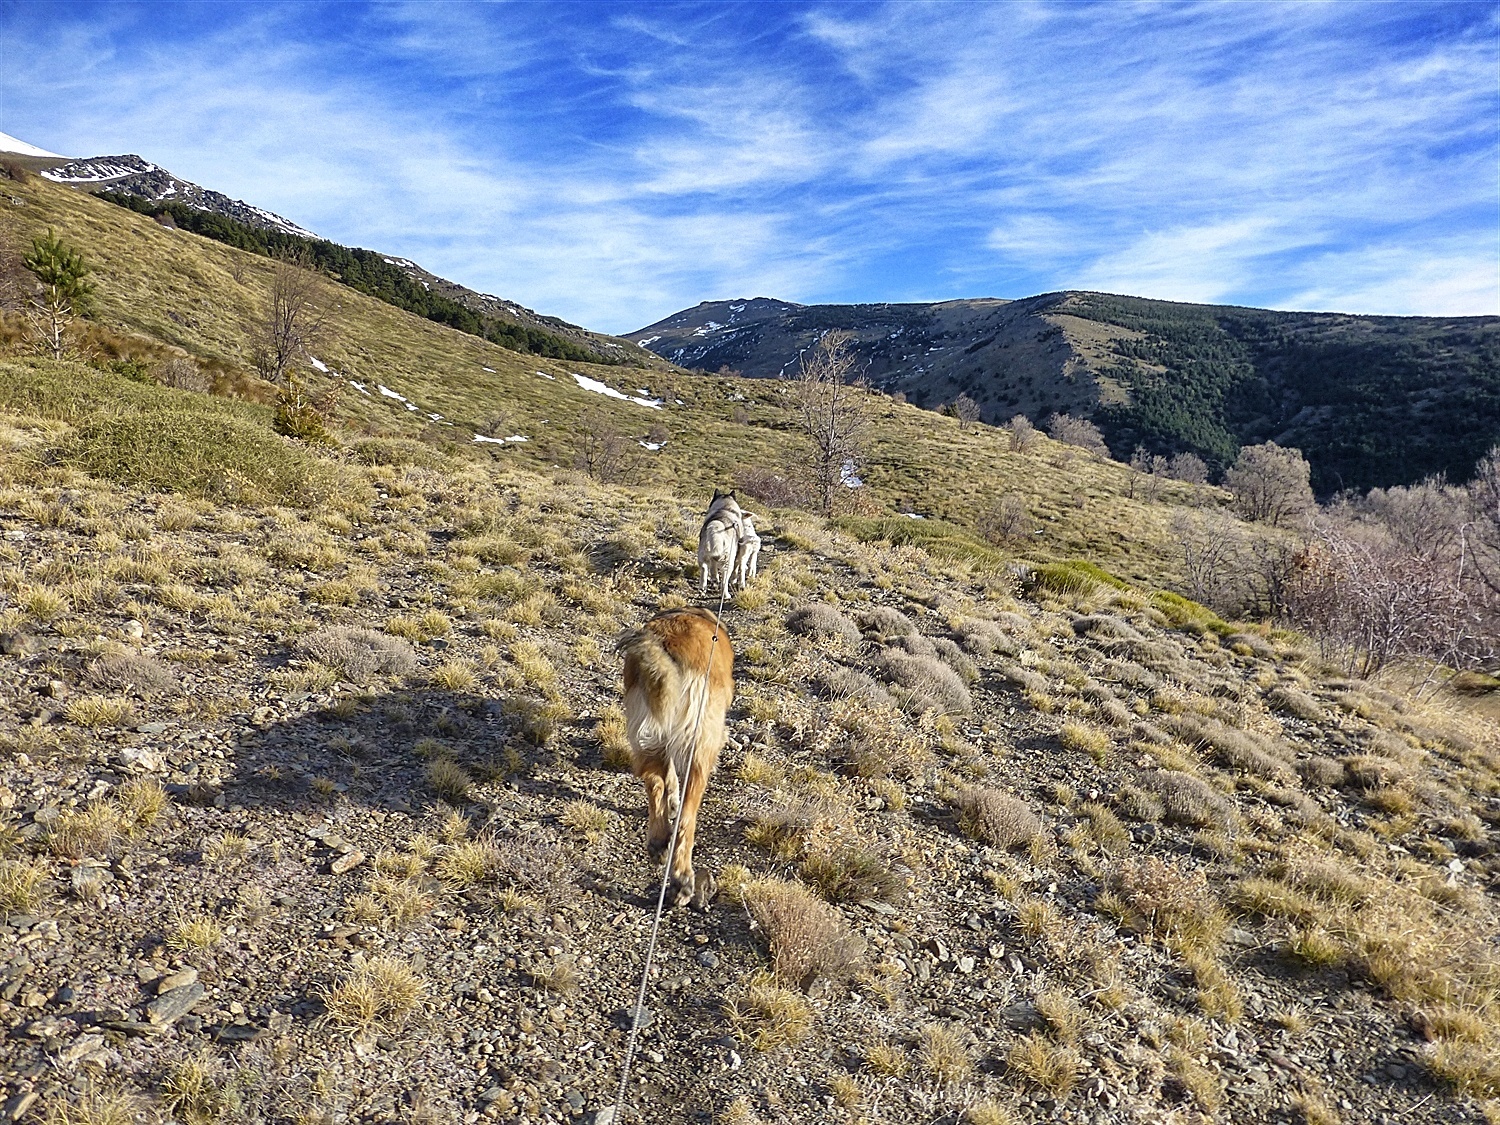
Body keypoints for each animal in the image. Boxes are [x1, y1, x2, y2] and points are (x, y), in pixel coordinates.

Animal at [618, 609, 735, 906]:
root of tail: (663, 643)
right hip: (699, 746)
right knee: (686, 819)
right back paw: (682, 880)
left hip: (647, 735)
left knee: (654, 784)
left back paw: (658, 842)